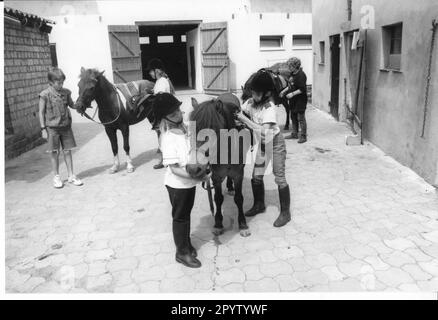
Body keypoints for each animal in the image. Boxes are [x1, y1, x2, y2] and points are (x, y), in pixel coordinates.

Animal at [186, 98, 252, 238]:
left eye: (213, 130)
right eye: (190, 131)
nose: (193, 168)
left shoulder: (239, 174)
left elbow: (239, 198)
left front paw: (243, 224)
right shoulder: (215, 176)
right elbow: (217, 198)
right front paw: (218, 224)